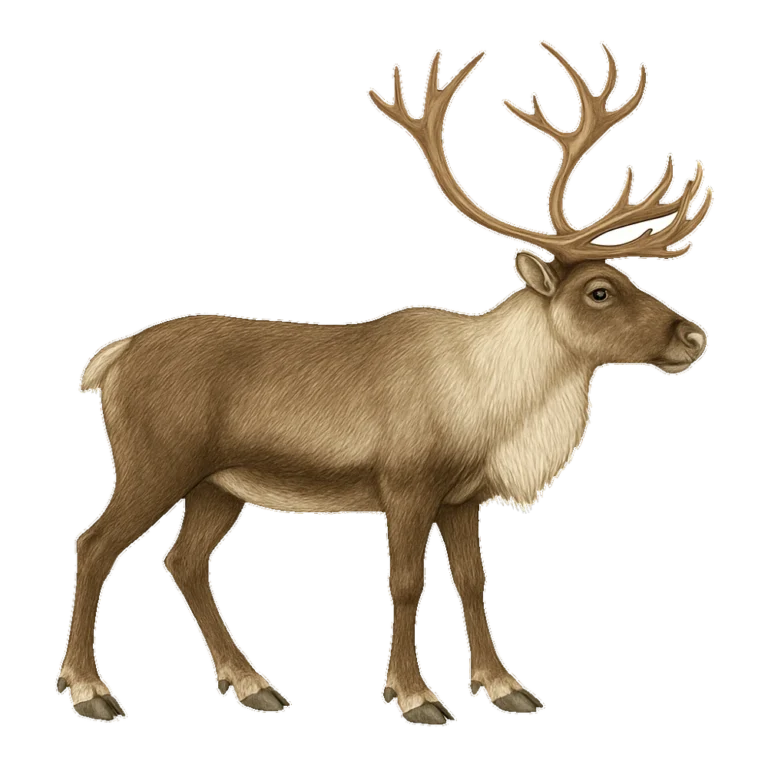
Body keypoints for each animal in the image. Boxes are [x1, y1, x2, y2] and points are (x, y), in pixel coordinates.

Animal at [60, 40, 712, 726]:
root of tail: (111, 358)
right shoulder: (405, 482)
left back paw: (253, 684)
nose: (694, 337)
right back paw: (91, 691)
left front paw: (505, 687)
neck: (491, 403)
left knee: (183, 560)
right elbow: (404, 582)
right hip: (156, 463)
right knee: (94, 544)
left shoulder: (461, 496)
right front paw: (416, 695)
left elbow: (473, 580)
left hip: (219, 484)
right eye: (599, 291)